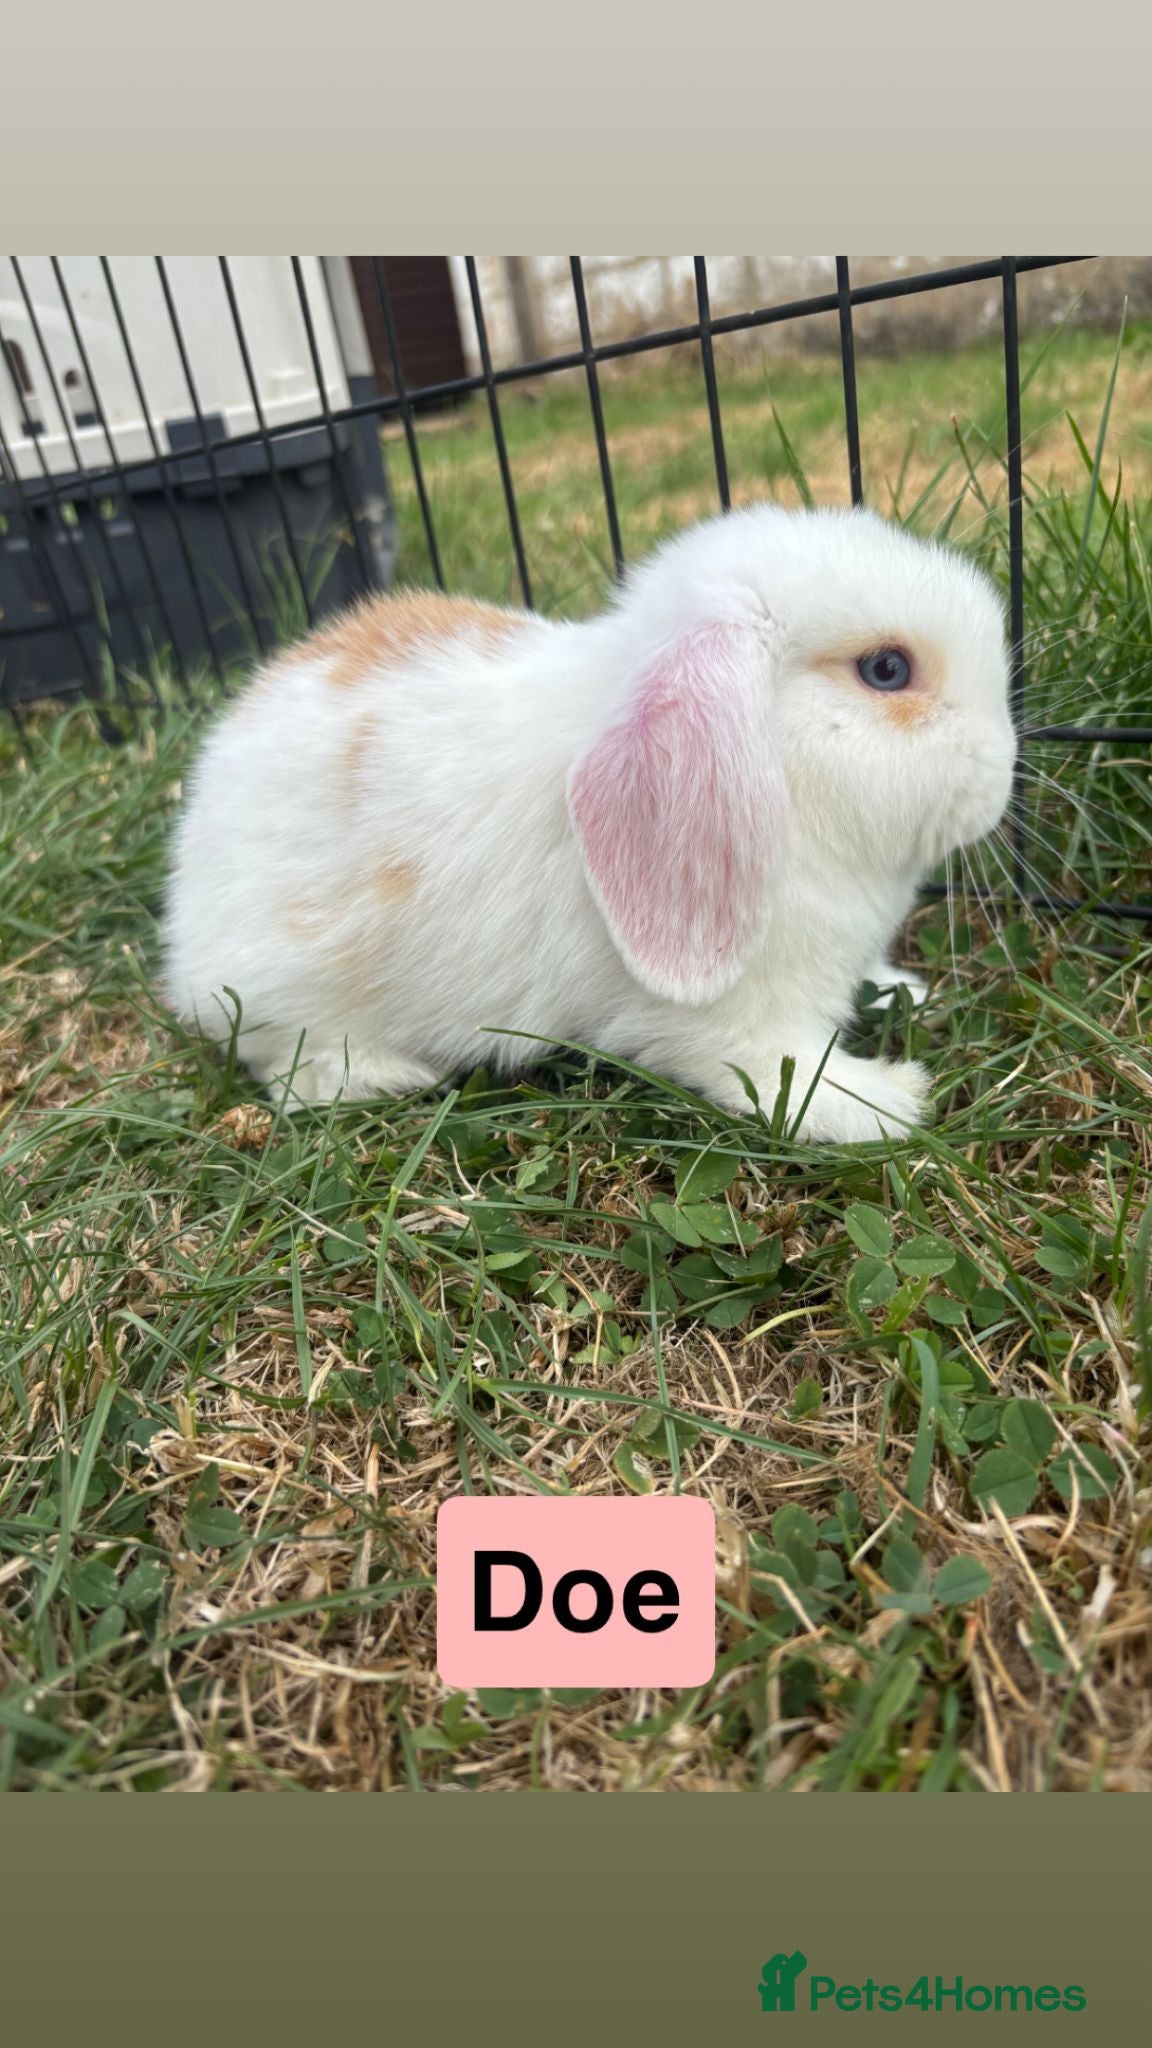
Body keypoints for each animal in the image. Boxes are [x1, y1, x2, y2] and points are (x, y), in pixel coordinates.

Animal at [163, 502, 1016, 1144]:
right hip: (289, 996)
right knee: (289, 1066)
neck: (788, 789)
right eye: (887, 670)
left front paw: (903, 992)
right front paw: (888, 1102)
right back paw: (392, 1073)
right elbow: (781, 1078)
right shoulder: (734, 1023)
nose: (1004, 771)